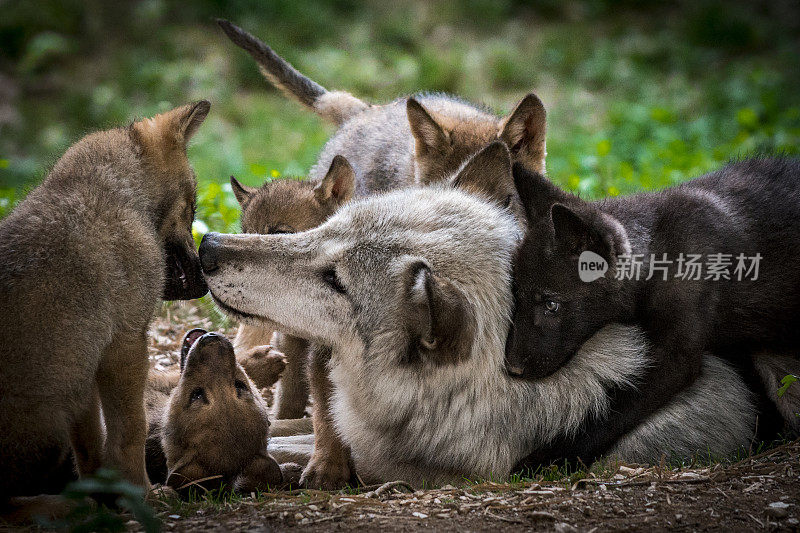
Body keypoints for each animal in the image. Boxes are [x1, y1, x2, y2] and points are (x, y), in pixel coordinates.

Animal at [0, 101, 209, 502]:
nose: (206, 283)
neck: (112, 193)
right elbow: (130, 432)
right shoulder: (125, 346)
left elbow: (92, 445)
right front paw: (142, 494)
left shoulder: (85, 369)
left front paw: (102, 494)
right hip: (51, 427)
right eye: (191, 209)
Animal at [506, 158, 800, 466]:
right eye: (517, 297)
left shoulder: (675, 359)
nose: (512, 368)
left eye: (551, 304)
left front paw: (542, 461)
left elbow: (606, 419)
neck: (659, 259)